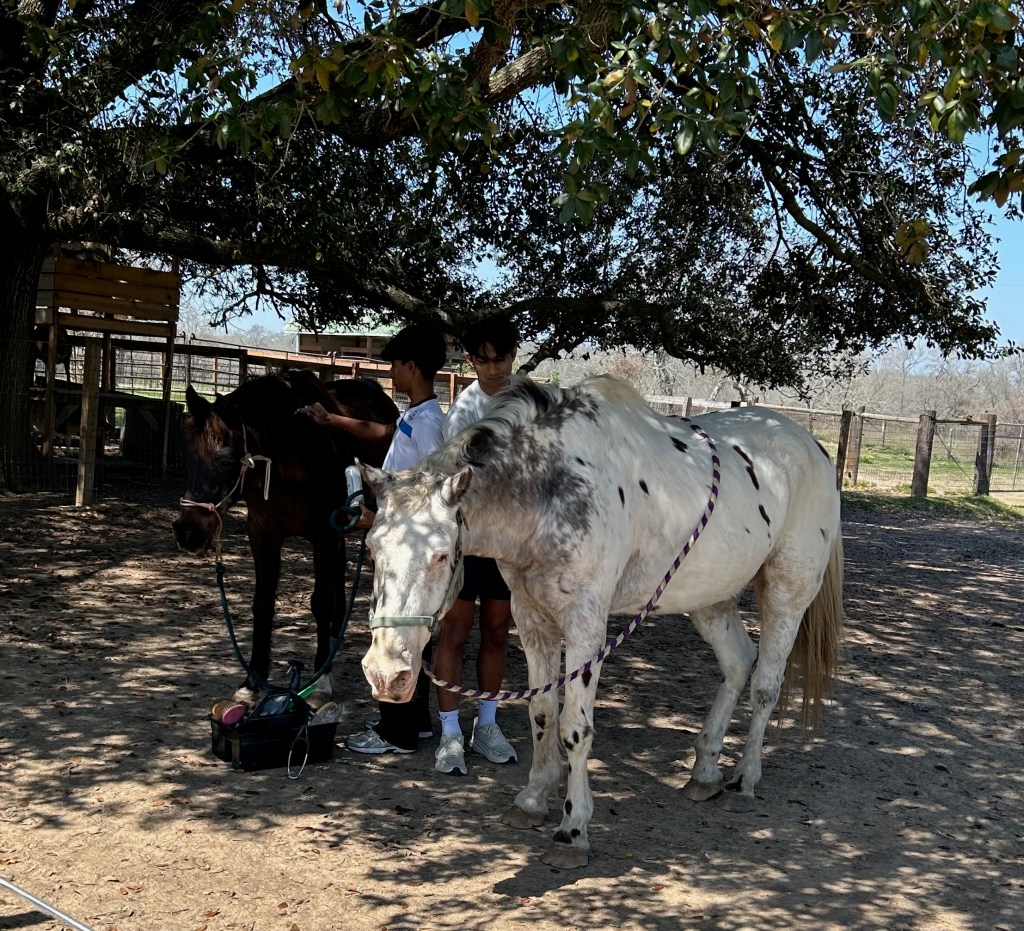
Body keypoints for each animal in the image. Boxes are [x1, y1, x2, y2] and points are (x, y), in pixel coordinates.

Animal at [173, 369, 398, 702]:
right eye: (187, 456)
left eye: (225, 460)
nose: (187, 531)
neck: (293, 455)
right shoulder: (263, 534)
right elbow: (262, 604)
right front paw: (253, 679)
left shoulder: (324, 534)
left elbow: (320, 602)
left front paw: (321, 676)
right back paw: (336, 632)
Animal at [358, 375, 843, 868]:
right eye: (374, 547)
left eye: (440, 555)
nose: (386, 674)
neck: (550, 491)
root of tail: (813, 448)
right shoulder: (531, 619)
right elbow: (541, 712)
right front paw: (532, 800)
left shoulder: (585, 626)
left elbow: (575, 727)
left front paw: (573, 829)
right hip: (711, 598)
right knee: (738, 664)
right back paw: (706, 771)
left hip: (787, 592)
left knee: (766, 684)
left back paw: (743, 782)